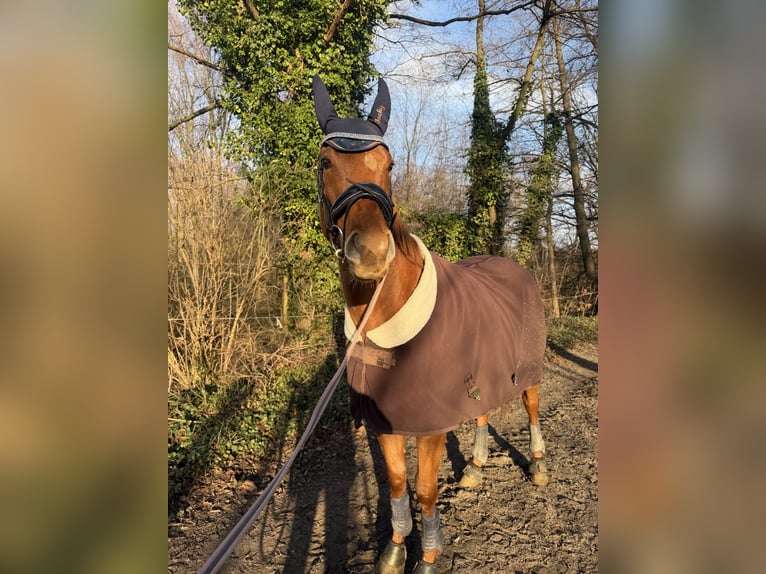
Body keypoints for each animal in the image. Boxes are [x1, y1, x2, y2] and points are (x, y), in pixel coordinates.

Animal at [311, 75, 549, 574]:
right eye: (325, 162)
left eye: (389, 163)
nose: (372, 251)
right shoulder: (383, 418)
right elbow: (399, 483)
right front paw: (395, 550)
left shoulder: (430, 423)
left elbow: (424, 489)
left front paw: (428, 556)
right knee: (483, 409)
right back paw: (475, 467)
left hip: (528, 370)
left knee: (532, 405)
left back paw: (538, 464)